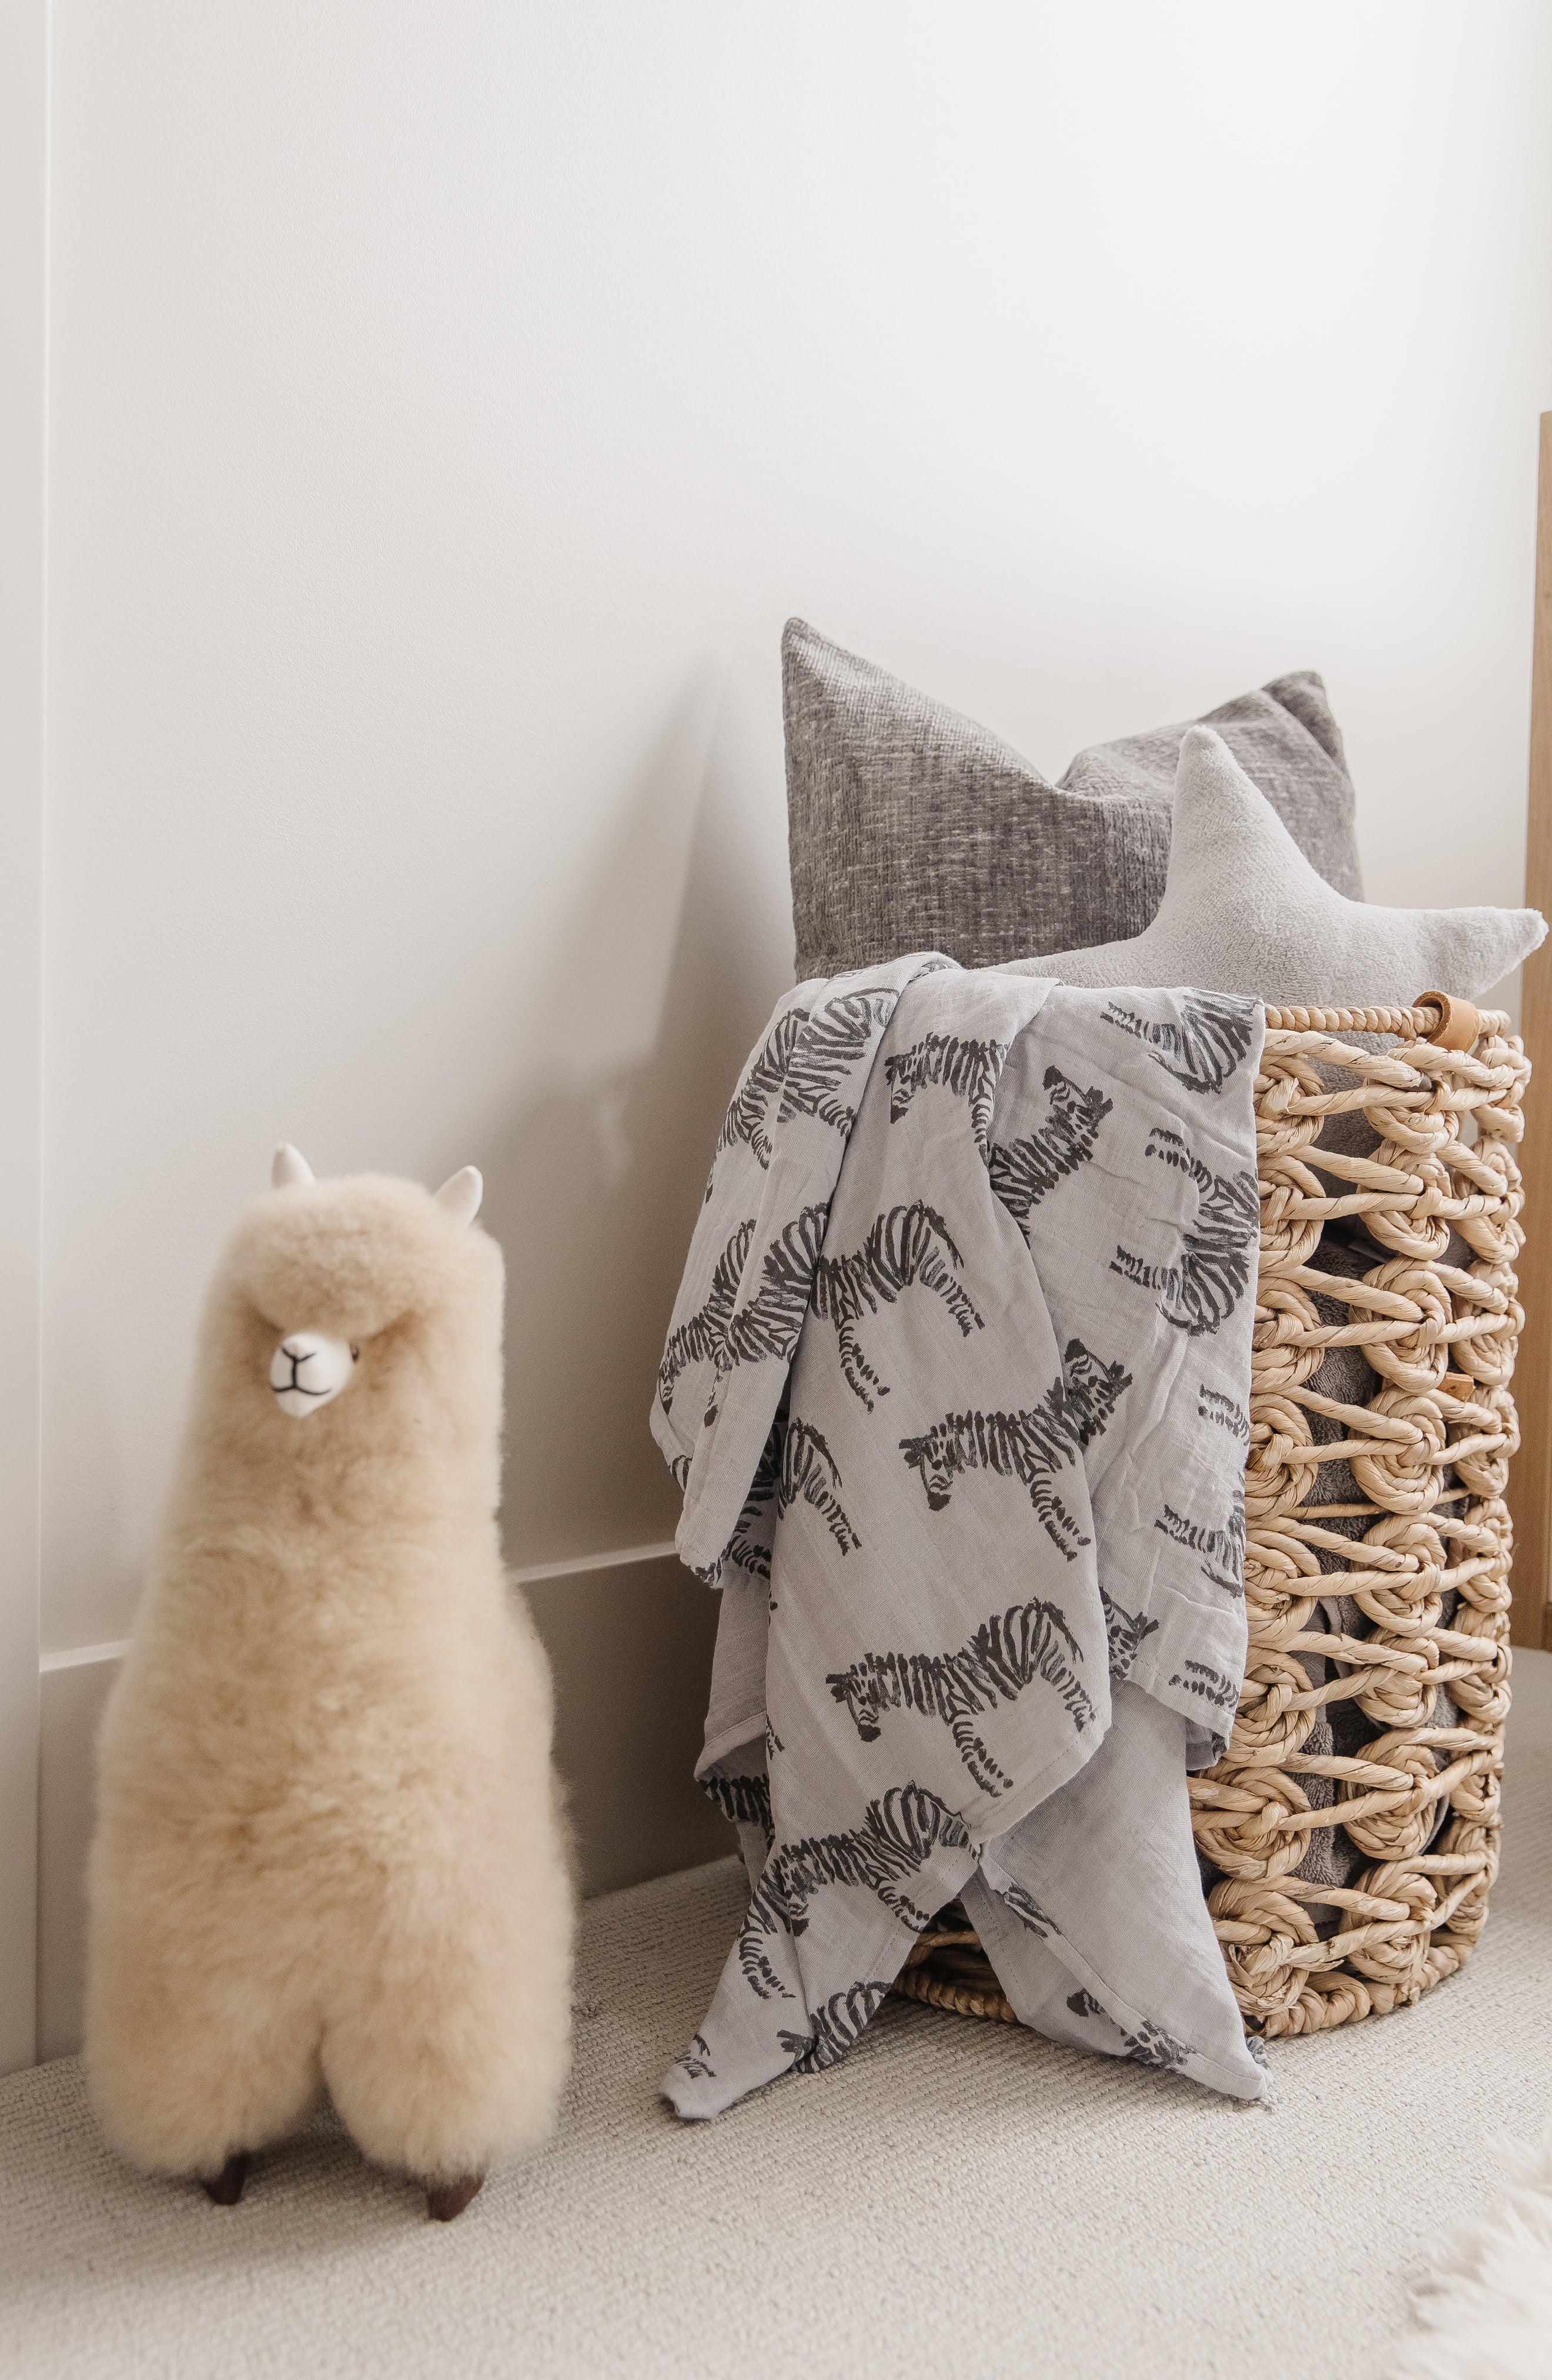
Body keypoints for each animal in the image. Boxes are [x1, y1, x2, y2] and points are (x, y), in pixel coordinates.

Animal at [809, 1202, 984, 1410]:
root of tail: (918, 1210)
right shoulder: (848, 1328)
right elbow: (855, 1358)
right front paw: (874, 1390)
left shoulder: (847, 1323)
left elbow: (849, 1360)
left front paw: (867, 1393)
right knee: (955, 1290)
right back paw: (975, 1324)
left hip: (927, 1266)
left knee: (952, 1290)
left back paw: (969, 1327)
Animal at [825, 1597, 1097, 1794]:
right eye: (850, 1710)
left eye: (863, 1701)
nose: (866, 1737)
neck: (930, 1688)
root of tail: (1034, 1607)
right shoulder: (963, 1723)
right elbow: (980, 1752)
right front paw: (1001, 1782)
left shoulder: (960, 1719)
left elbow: (970, 1756)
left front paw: (992, 1788)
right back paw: (1088, 1718)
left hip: (1048, 1661)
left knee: (1070, 1687)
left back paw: (1084, 1723)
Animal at [897, 1340, 1133, 1561]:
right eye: (921, 1474)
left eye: (937, 1465)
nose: (935, 1505)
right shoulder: (1041, 1480)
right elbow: (1059, 1514)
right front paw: (1076, 1544)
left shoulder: (1041, 1481)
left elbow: (1053, 1515)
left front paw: (1071, 1548)